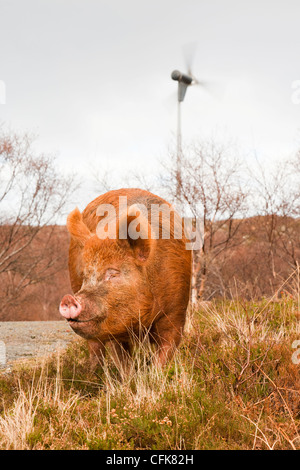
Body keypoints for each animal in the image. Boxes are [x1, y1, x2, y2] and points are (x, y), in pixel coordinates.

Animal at [59, 189, 192, 370]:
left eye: (113, 273)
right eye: (86, 275)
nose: (69, 299)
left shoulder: (175, 313)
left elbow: (165, 351)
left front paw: (154, 374)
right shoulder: (114, 327)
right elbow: (122, 361)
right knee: (94, 346)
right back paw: (93, 371)